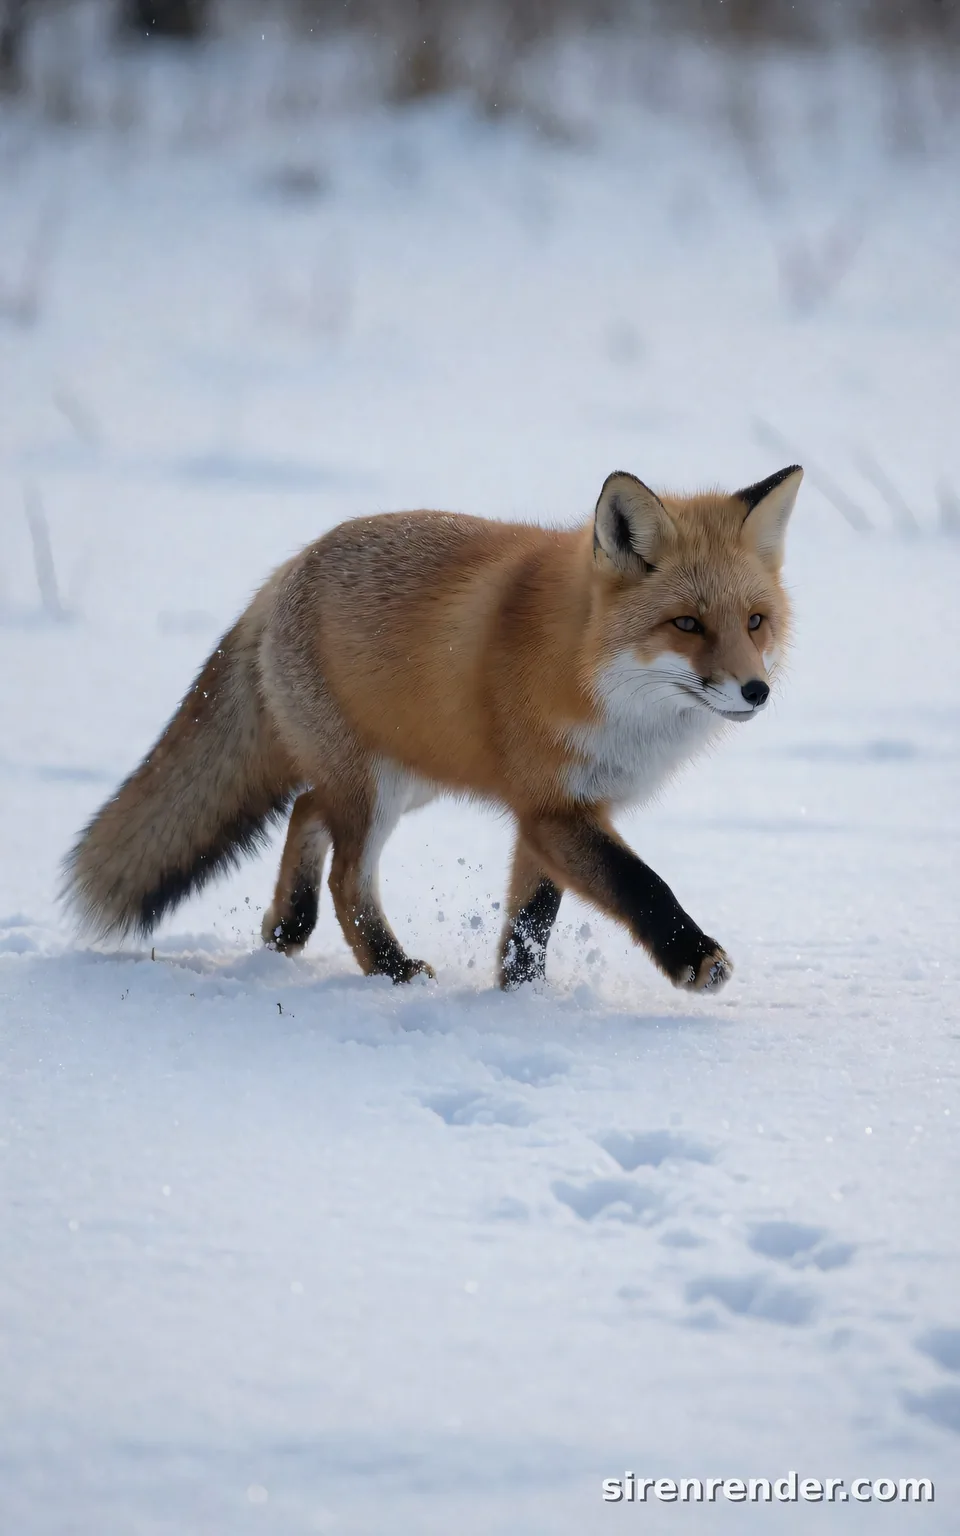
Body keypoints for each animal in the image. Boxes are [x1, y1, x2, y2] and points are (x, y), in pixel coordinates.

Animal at [65, 464, 802, 994]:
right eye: (687, 624)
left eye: (755, 623)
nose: (757, 691)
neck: (588, 670)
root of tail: (285, 573)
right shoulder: (552, 808)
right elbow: (639, 883)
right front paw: (694, 959)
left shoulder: (555, 811)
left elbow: (531, 920)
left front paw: (519, 995)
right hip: (377, 788)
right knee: (345, 875)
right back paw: (389, 968)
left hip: (409, 775)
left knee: (307, 807)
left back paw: (286, 924)